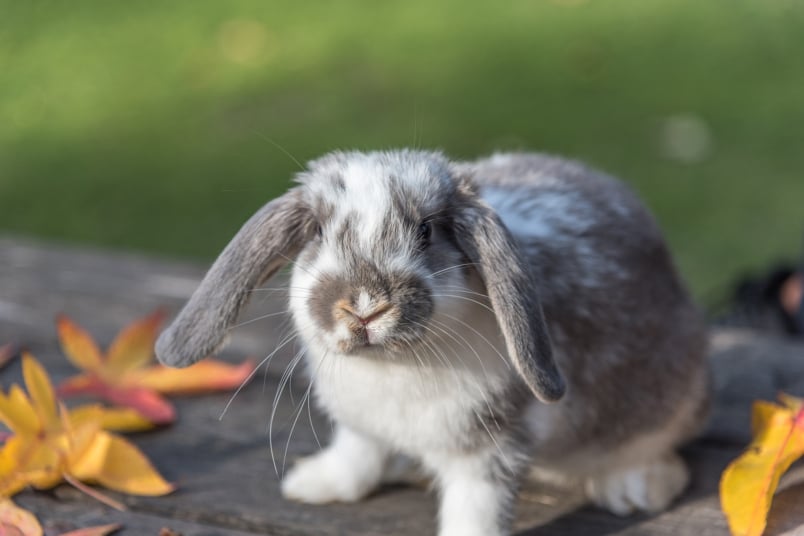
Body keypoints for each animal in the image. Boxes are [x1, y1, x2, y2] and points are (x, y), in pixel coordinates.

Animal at [155, 150, 708, 536]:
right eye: (317, 233)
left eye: (426, 232)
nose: (365, 306)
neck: (391, 367)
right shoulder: (361, 425)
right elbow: (356, 456)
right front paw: (313, 486)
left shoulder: (488, 446)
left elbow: (475, 510)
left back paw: (635, 489)